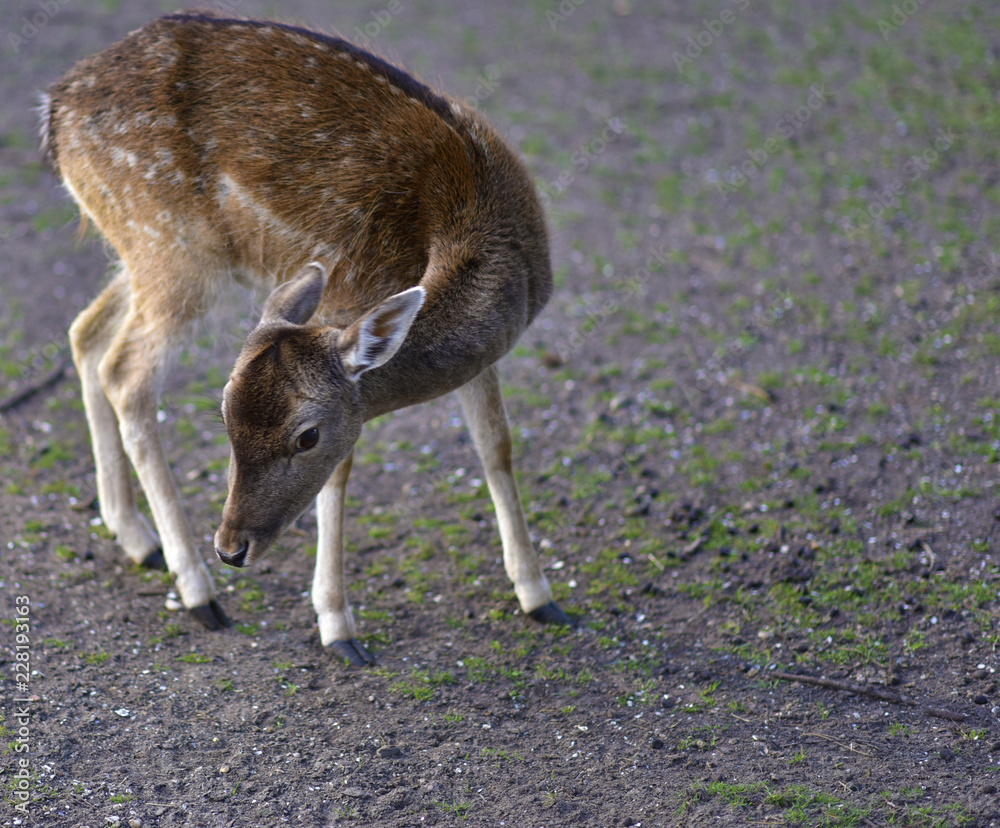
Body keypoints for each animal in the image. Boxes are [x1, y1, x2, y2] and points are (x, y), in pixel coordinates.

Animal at [42, 12, 571, 665]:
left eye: (306, 436)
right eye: (223, 419)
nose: (231, 548)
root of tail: (55, 114)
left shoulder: (479, 355)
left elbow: (496, 446)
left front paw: (540, 596)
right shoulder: (347, 304)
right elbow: (342, 475)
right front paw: (338, 627)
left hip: (148, 251)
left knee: (87, 333)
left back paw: (136, 537)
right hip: (168, 245)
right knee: (125, 371)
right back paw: (197, 591)